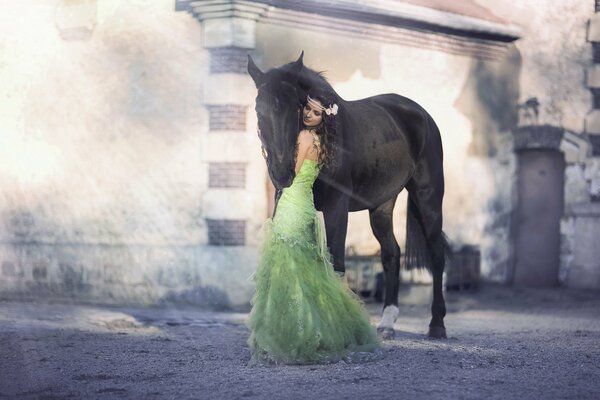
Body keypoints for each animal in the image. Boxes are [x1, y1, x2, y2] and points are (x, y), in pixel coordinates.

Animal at [247, 50, 450, 338]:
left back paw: (437, 324)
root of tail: (422, 115)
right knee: (391, 253)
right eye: (258, 110)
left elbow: (337, 264)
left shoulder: (337, 207)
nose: (282, 171)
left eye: (296, 107)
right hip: (381, 205)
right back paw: (387, 323)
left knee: (436, 254)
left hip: (428, 197)